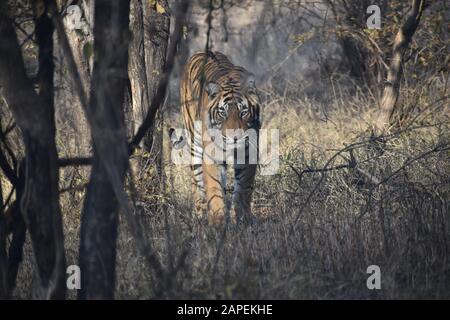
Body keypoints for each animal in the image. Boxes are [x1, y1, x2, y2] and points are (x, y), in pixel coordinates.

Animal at [173, 50, 264, 225]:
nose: (234, 138)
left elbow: (243, 189)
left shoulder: (248, 152)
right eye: (223, 113)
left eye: (243, 112)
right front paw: (218, 222)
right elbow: (214, 189)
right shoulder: (212, 155)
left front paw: (243, 220)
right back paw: (199, 214)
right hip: (194, 143)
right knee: (197, 180)